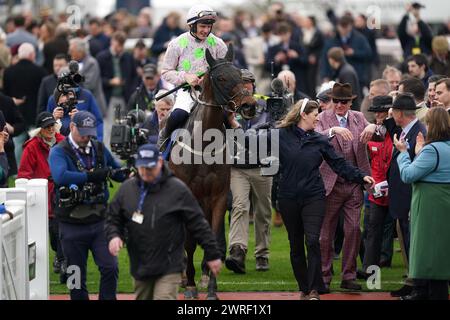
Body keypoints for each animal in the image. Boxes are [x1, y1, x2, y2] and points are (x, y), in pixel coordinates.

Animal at [167, 45, 256, 300]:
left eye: (240, 75)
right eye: (222, 78)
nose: (250, 106)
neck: (204, 145)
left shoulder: (218, 197)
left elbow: (214, 238)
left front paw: (211, 288)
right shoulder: (188, 197)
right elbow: (188, 242)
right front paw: (190, 286)